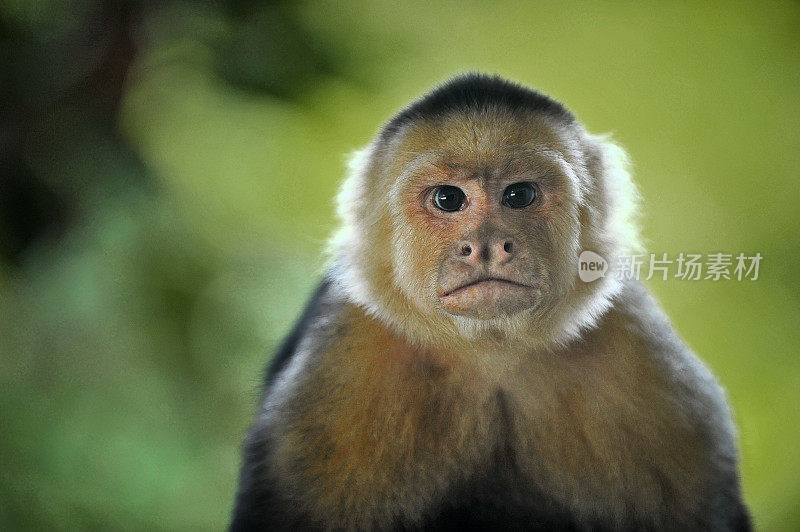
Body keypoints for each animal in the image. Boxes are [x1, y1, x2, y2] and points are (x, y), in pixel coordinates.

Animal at [230, 75, 752, 532]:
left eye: (519, 195)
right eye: (448, 199)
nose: (485, 246)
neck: (491, 354)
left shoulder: (642, 354)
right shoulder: (341, 366)